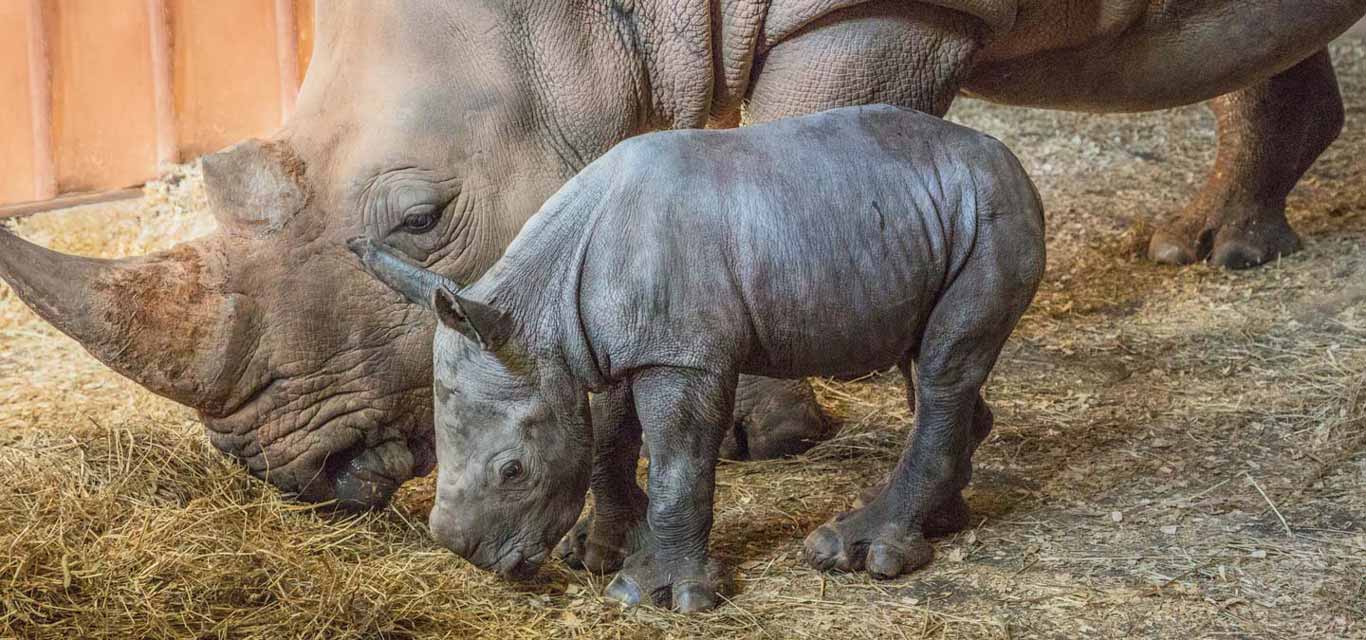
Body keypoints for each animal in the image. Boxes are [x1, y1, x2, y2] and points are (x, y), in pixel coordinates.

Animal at [2, 1, 1366, 507]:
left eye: (421, 219)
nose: (292, 470)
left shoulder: (881, 11)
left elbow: (801, 153)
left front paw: (763, 436)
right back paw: (1209, 250)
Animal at [346, 105, 1038, 614]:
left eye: (513, 470)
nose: (475, 557)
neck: (538, 313)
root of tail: (1008, 158)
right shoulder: (612, 344)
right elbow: (609, 440)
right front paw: (601, 553)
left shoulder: (682, 358)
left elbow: (677, 463)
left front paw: (654, 594)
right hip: (933, 218)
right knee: (932, 367)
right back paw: (942, 521)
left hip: (992, 216)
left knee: (943, 371)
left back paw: (858, 552)